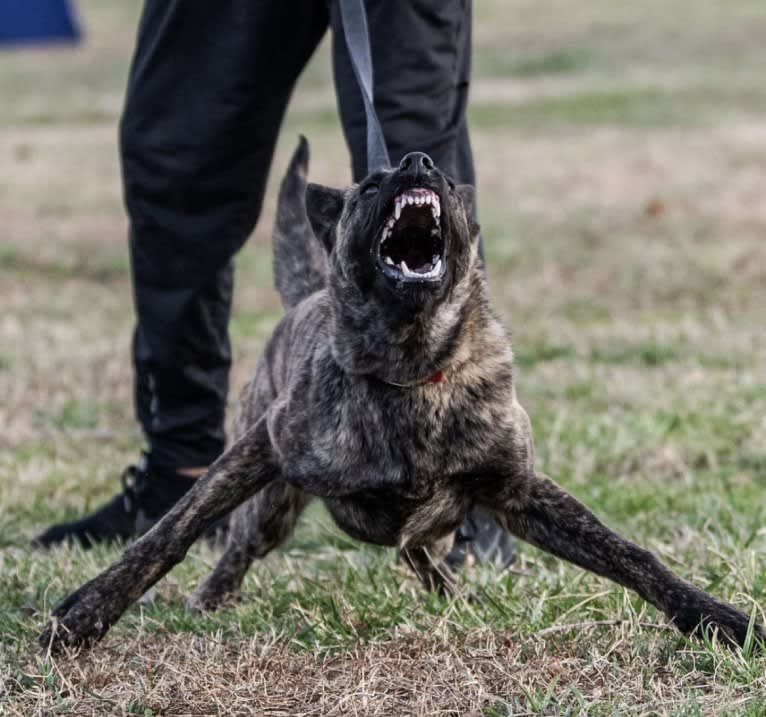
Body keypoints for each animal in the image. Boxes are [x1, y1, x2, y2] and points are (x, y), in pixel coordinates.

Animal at [40, 138, 760, 648]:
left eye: (445, 179)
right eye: (368, 183)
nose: (417, 160)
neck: (414, 369)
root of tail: (303, 297)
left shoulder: (519, 491)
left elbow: (633, 557)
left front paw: (720, 619)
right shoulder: (262, 448)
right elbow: (168, 531)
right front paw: (85, 613)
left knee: (422, 548)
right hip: (273, 505)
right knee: (244, 545)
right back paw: (213, 596)